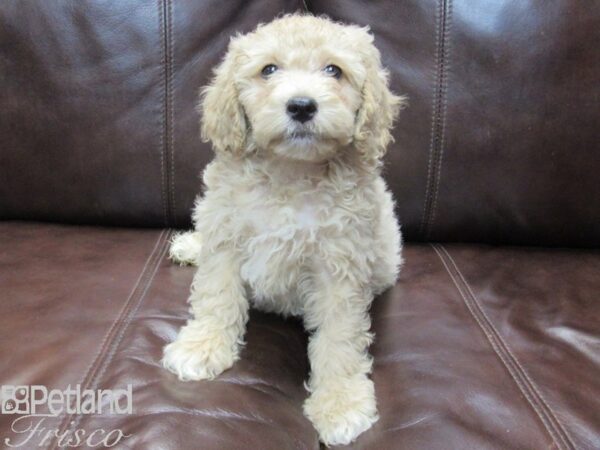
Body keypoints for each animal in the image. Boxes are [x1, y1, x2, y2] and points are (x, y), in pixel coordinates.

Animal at [162, 14, 406, 446]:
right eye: (269, 70)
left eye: (334, 71)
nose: (302, 105)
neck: (291, 172)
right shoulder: (226, 237)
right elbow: (216, 297)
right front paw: (202, 346)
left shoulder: (339, 268)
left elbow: (340, 339)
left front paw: (340, 402)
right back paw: (191, 245)